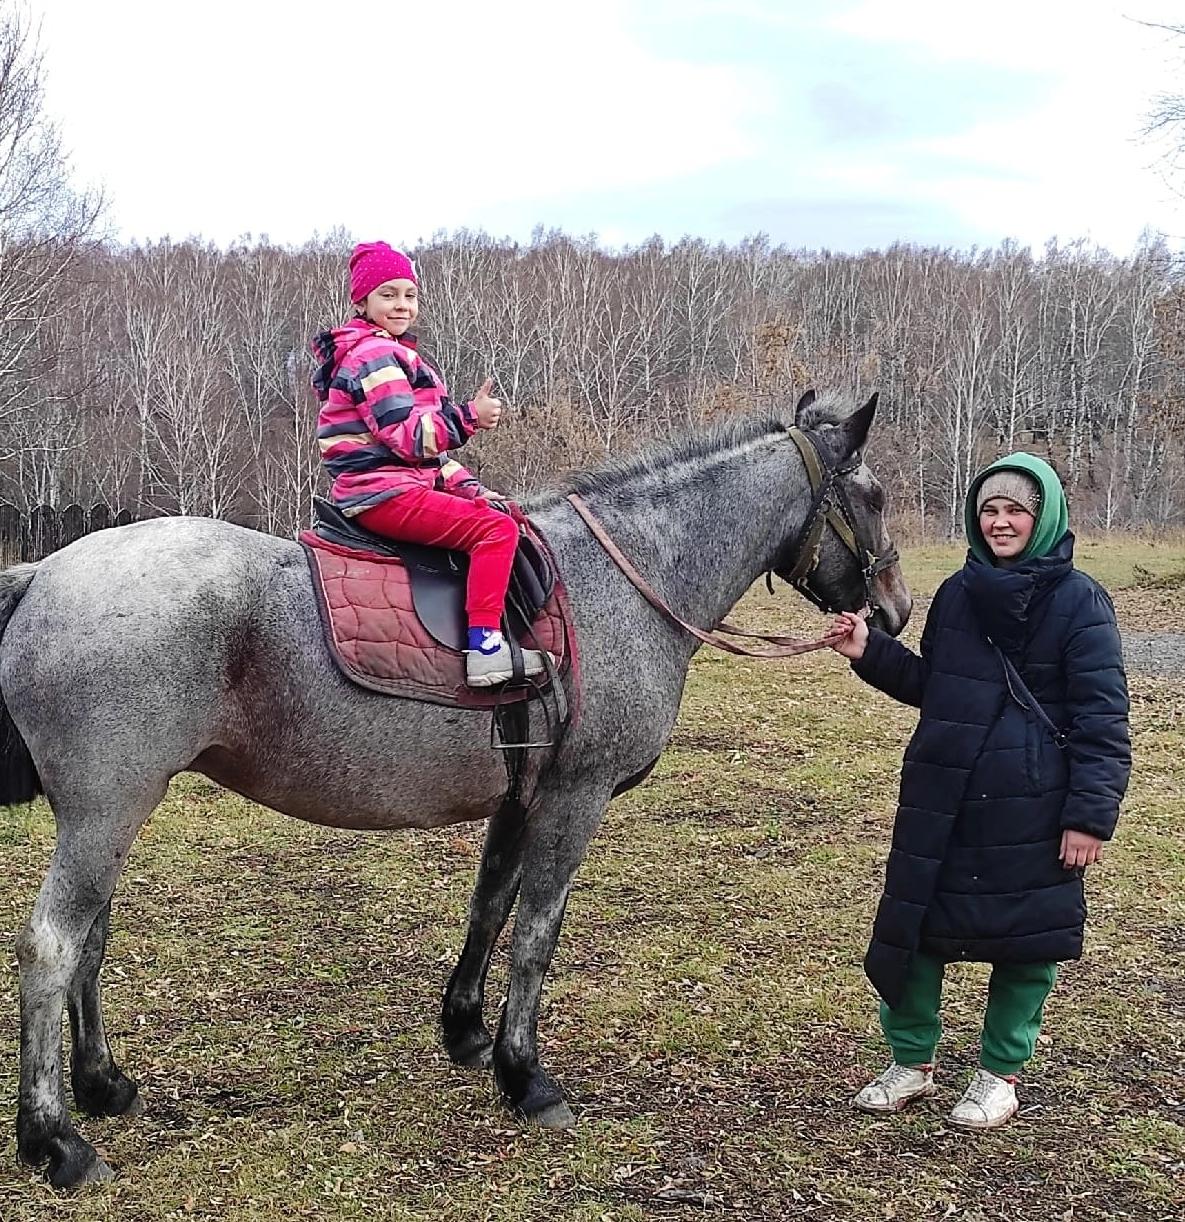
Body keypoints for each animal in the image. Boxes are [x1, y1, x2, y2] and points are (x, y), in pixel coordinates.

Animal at [0, 388, 908, 1182]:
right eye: (872, 494)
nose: (895, 610)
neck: (620, 579)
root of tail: (44, 572)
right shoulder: (573, 800)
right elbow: (537, 935)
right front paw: (525, 1075)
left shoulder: (520, 798)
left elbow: (490, 908)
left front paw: (466, 1032)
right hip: (107, 811)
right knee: (52, 947)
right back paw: (56, 1141)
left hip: (109, 815)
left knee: (90, 944)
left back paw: (102, 1086)